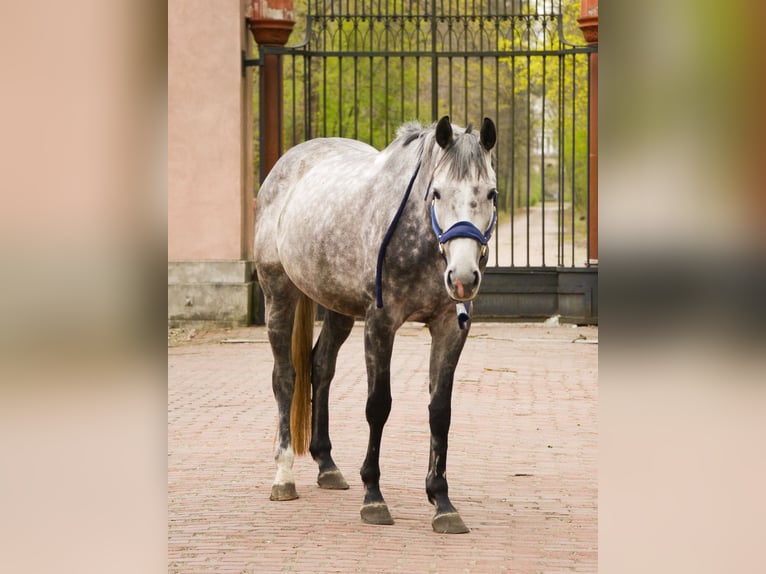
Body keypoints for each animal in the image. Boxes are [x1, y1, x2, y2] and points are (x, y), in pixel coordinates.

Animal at [253, 116, 497, 534]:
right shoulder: (380, 323)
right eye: (437, 193)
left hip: (336, 307)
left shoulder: (450, 328)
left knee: (321, 367)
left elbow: (440, 412)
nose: (464, 277)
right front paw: (374, 497)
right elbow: (378, 406)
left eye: (492, 194)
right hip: (278, 293)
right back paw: (284, 476)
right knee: (285, 377)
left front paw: (442, 502)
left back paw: (327, 465)